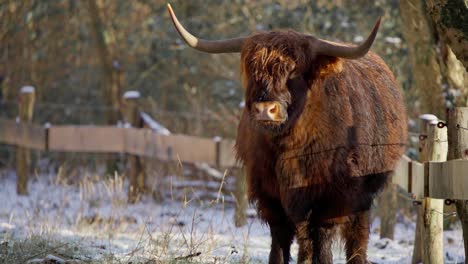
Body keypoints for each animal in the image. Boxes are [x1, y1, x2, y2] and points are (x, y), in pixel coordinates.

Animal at [167, 4, 406, 264]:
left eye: (294, 71)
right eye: (252, 69)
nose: (265, 109)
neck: (291, 144)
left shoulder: (335, 196)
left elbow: (323, 238)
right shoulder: (269, 193)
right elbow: (280, 238)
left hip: (363, 194)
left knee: (356, 236)